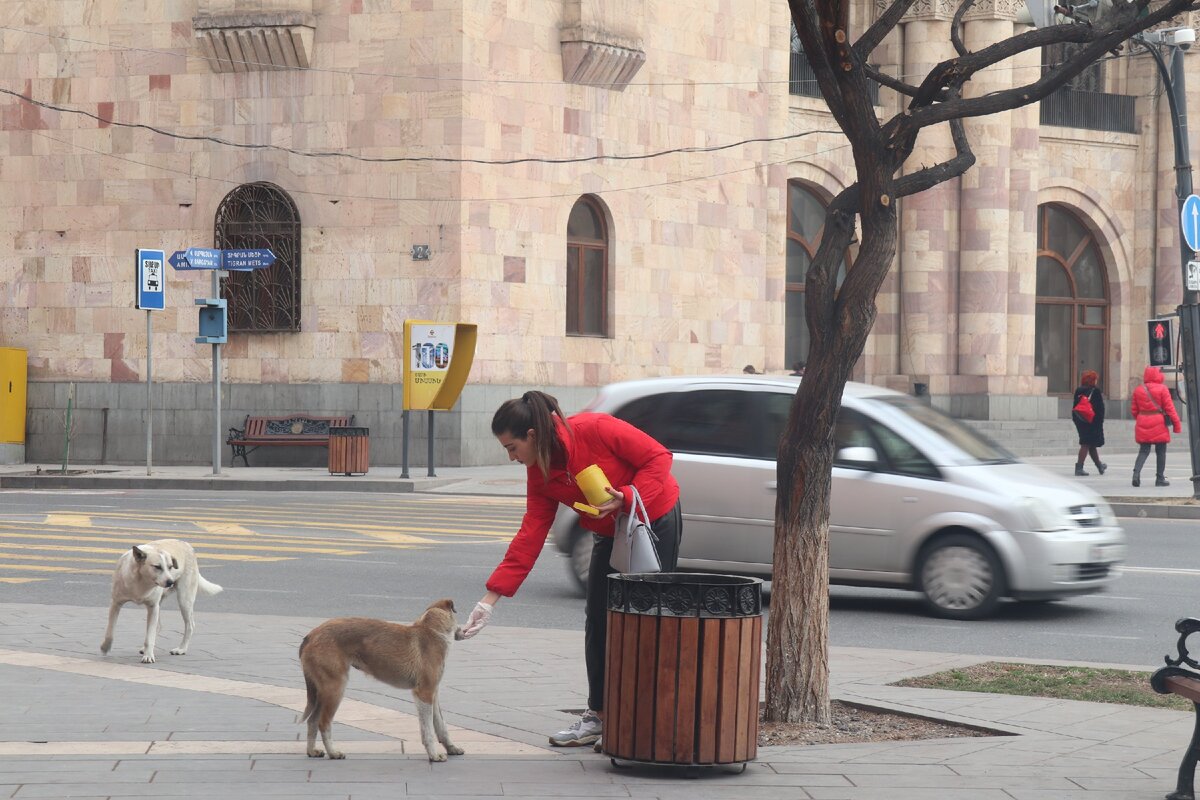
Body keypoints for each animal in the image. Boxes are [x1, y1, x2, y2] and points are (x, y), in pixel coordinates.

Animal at [298, 599, 463, 762]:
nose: (462, 631)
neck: (432, 631)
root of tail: (311, 635)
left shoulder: (433, 694)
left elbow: (441, 725)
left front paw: (451, 748)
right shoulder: (424, 693)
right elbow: (427, 730)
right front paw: (433, 755)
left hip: (321, 692)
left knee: (312, 721)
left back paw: (312, 751)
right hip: (335, 688)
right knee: (323, 723)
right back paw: (333, 753)